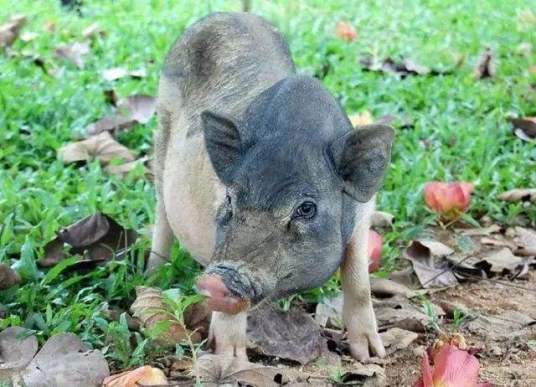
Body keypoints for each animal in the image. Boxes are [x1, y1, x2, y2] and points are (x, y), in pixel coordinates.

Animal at [147, 12, 394, 364]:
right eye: (230, 198)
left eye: (306, 208)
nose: (215, 280)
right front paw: (232, 362)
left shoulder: (363, 214)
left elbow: (358, 282)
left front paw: (372, 356)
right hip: (162, 122)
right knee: (161, 211)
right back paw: (153, 275)